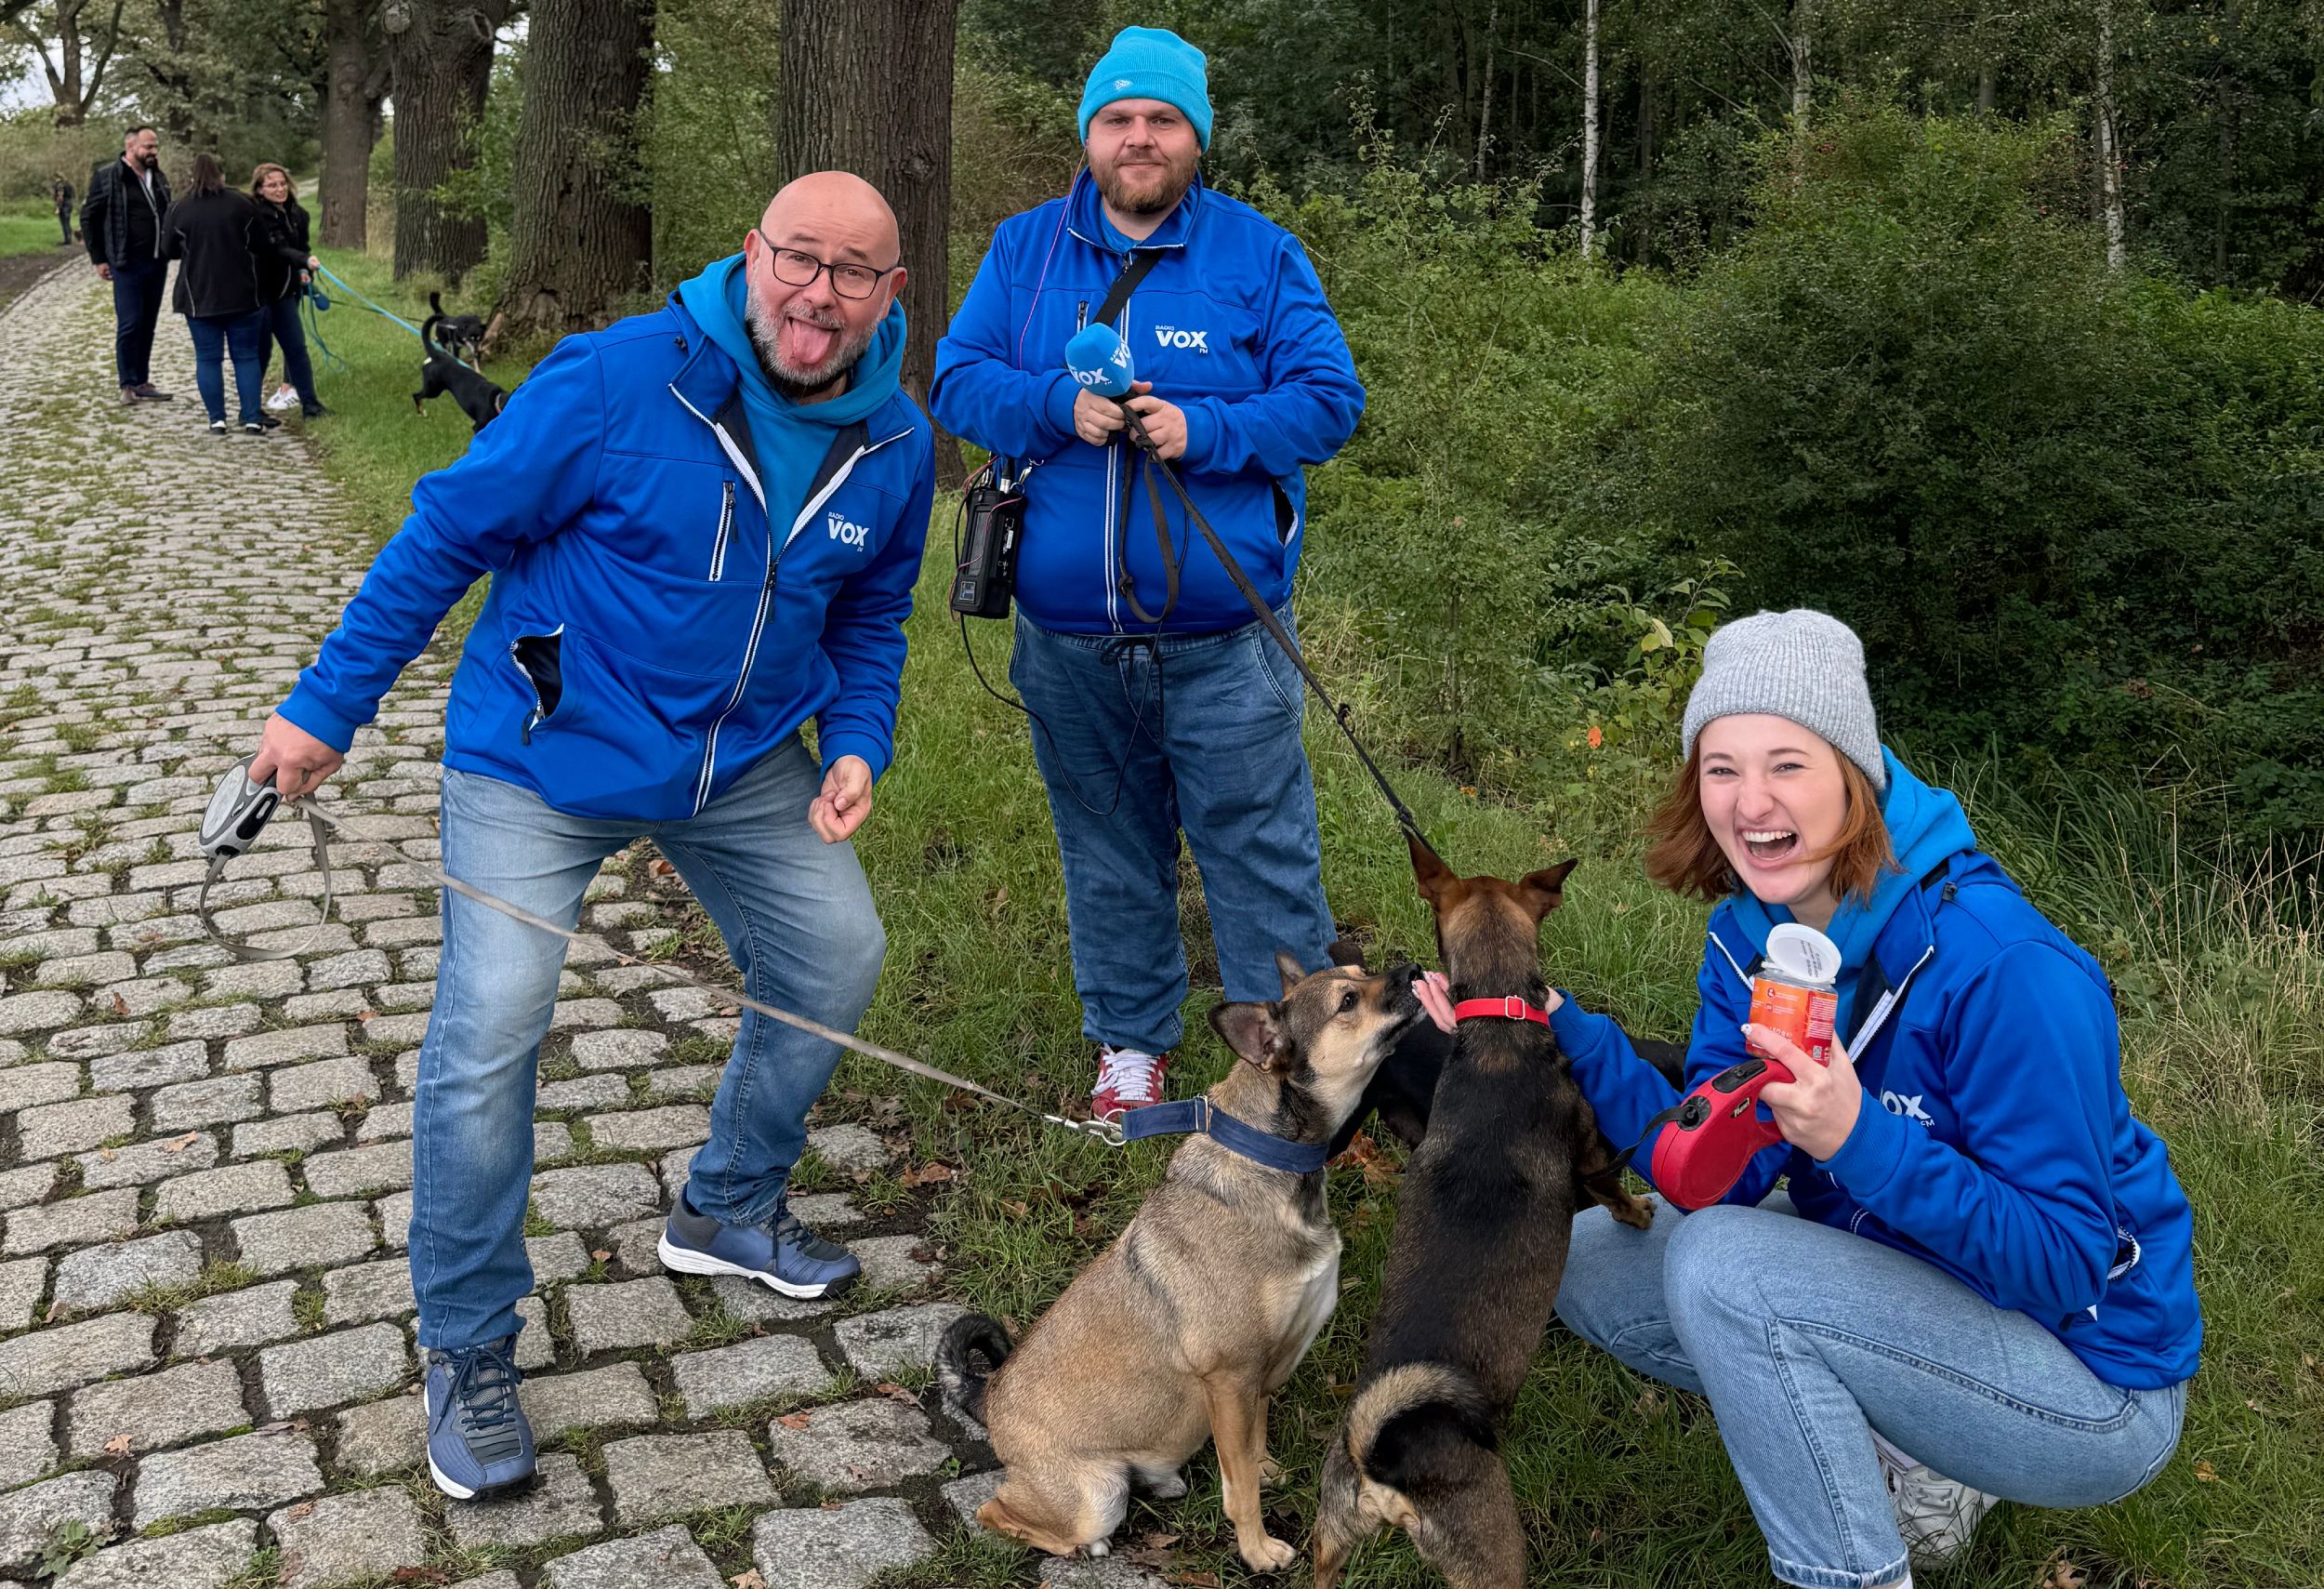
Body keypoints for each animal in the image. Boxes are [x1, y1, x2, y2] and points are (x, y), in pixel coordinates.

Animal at [418, 291, 508, 434]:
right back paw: (421, 412)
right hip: (432, 389)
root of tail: (438, 357)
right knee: (416, 396)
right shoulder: (478, 426)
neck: (497, 399)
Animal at [934, 947, 1422, 1570]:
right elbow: (1240, 1486)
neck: (1270, 1160)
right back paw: (1086, 1543)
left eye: (1359, 972)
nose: (1414, 972)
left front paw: (1266, 1469)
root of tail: (988, 1395)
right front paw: (1257, 1549)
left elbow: (1254, 1444)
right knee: (994, 1513)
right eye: (1348, 1002)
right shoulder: (1230, 1376)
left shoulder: (1262, 1372)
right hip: (1095, 1494)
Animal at [1311, 836, 1655, 1580]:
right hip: (1493, 1556)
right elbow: (1615, 1191)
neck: (1499, 1026)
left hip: (1330, 1533)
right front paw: (1641, 1212)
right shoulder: (1593, 1156)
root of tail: (1386, 1465)